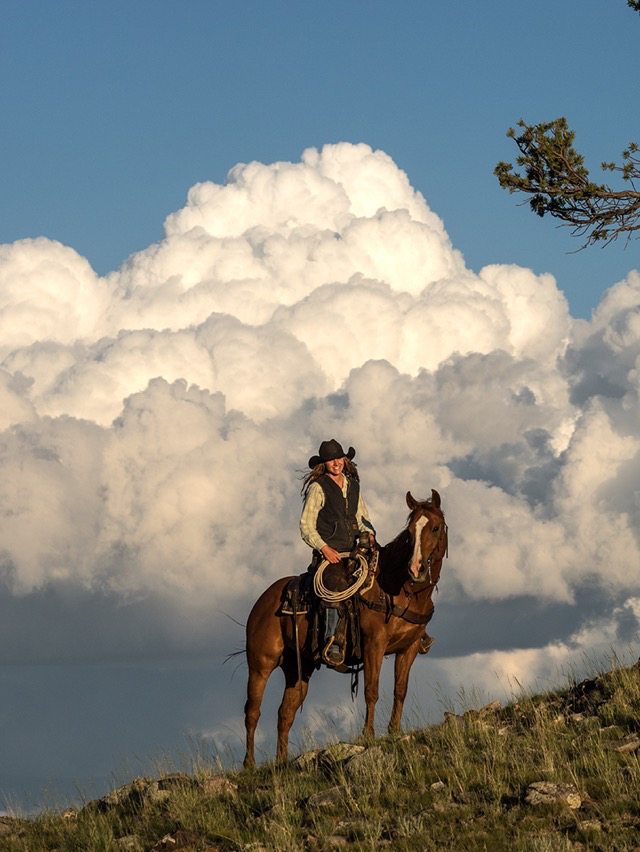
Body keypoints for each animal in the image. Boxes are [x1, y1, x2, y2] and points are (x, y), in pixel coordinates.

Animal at [242, 486, 448, 764]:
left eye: (435, 527)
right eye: (409, 532)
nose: (416, 569)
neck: (398, 590)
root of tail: (262, 601)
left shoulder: (410, 647)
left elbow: (400, 690)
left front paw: (394, 731)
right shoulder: (374, 645)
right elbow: (371, 690)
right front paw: (368, 735)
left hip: (298, 668)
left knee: (285, 713)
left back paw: (281, 762)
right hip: (260, 665)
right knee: (252, 712)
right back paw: (250, 765)